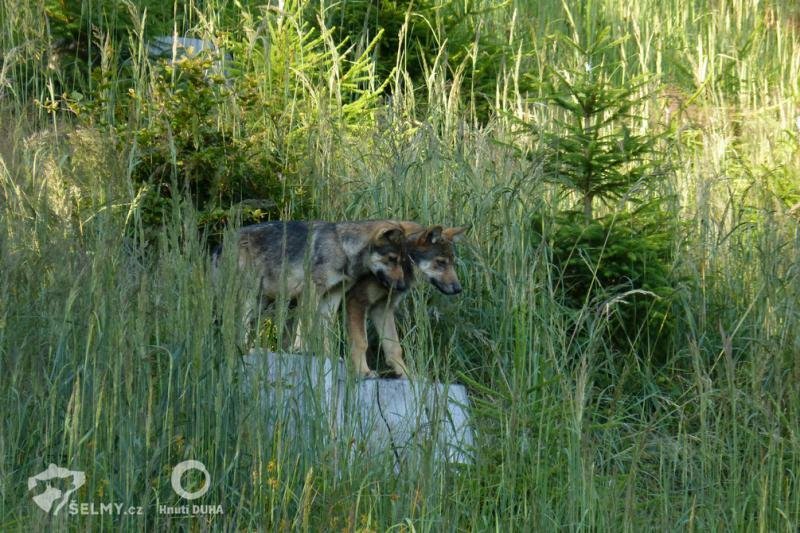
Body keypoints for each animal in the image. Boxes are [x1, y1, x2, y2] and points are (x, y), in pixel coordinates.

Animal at [228, 219, 410, 350]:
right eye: (392, 259)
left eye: (402, 261)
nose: (403, 287)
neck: (343, 249)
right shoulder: (312, 292)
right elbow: (305, 326)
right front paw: (300, 349)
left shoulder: (332, 297)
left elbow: (325, 332)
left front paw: (327, 356)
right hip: (249, 299)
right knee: (238, 326)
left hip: (260, 304)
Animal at [346, 222, 468, 376]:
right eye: (441, 262)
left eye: (453, 263)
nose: (458, 289)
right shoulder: (357, 302)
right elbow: (361, 343)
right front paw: (363, 372)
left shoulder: (382, 309)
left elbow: (395, 348)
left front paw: (406, 374)